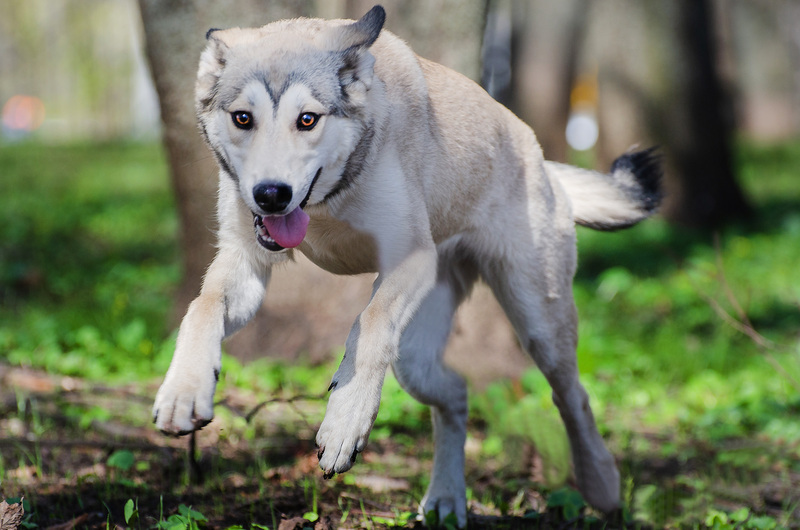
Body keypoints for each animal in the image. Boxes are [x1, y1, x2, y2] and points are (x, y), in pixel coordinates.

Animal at [152, 5, 664, 524]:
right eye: (243, 118)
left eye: (307, 119)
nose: (271, 195)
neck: (328, 204)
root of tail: (542, 161)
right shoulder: (246, 261)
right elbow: (201, 308)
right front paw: (184, 391)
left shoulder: (411, 259)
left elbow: (370, 323)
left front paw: (345, 420)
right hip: (416, 362)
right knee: (456, 395)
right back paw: (446, 499)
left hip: (539, 324)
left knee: (573, 397)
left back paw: (601, 485)